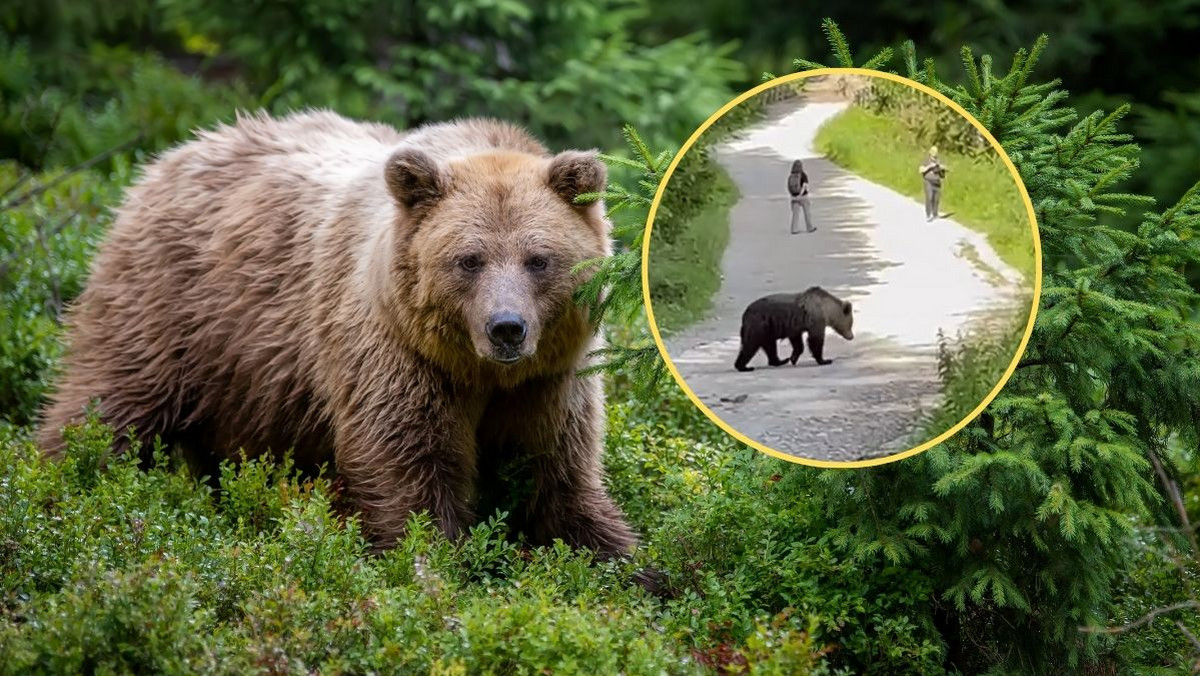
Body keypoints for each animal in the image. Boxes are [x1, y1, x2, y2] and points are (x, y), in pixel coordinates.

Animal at [37, 109, 638, 554]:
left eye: (539, 260)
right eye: (469, 260)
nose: (506, 328)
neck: (477, 371)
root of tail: (170, 156)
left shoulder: (550, 380)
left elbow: (557, 474)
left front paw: (625, 561)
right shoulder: (394, 354)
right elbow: (406, 467)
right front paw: (432, 561)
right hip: (173, 310)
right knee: (108, 403)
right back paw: (60, 485)